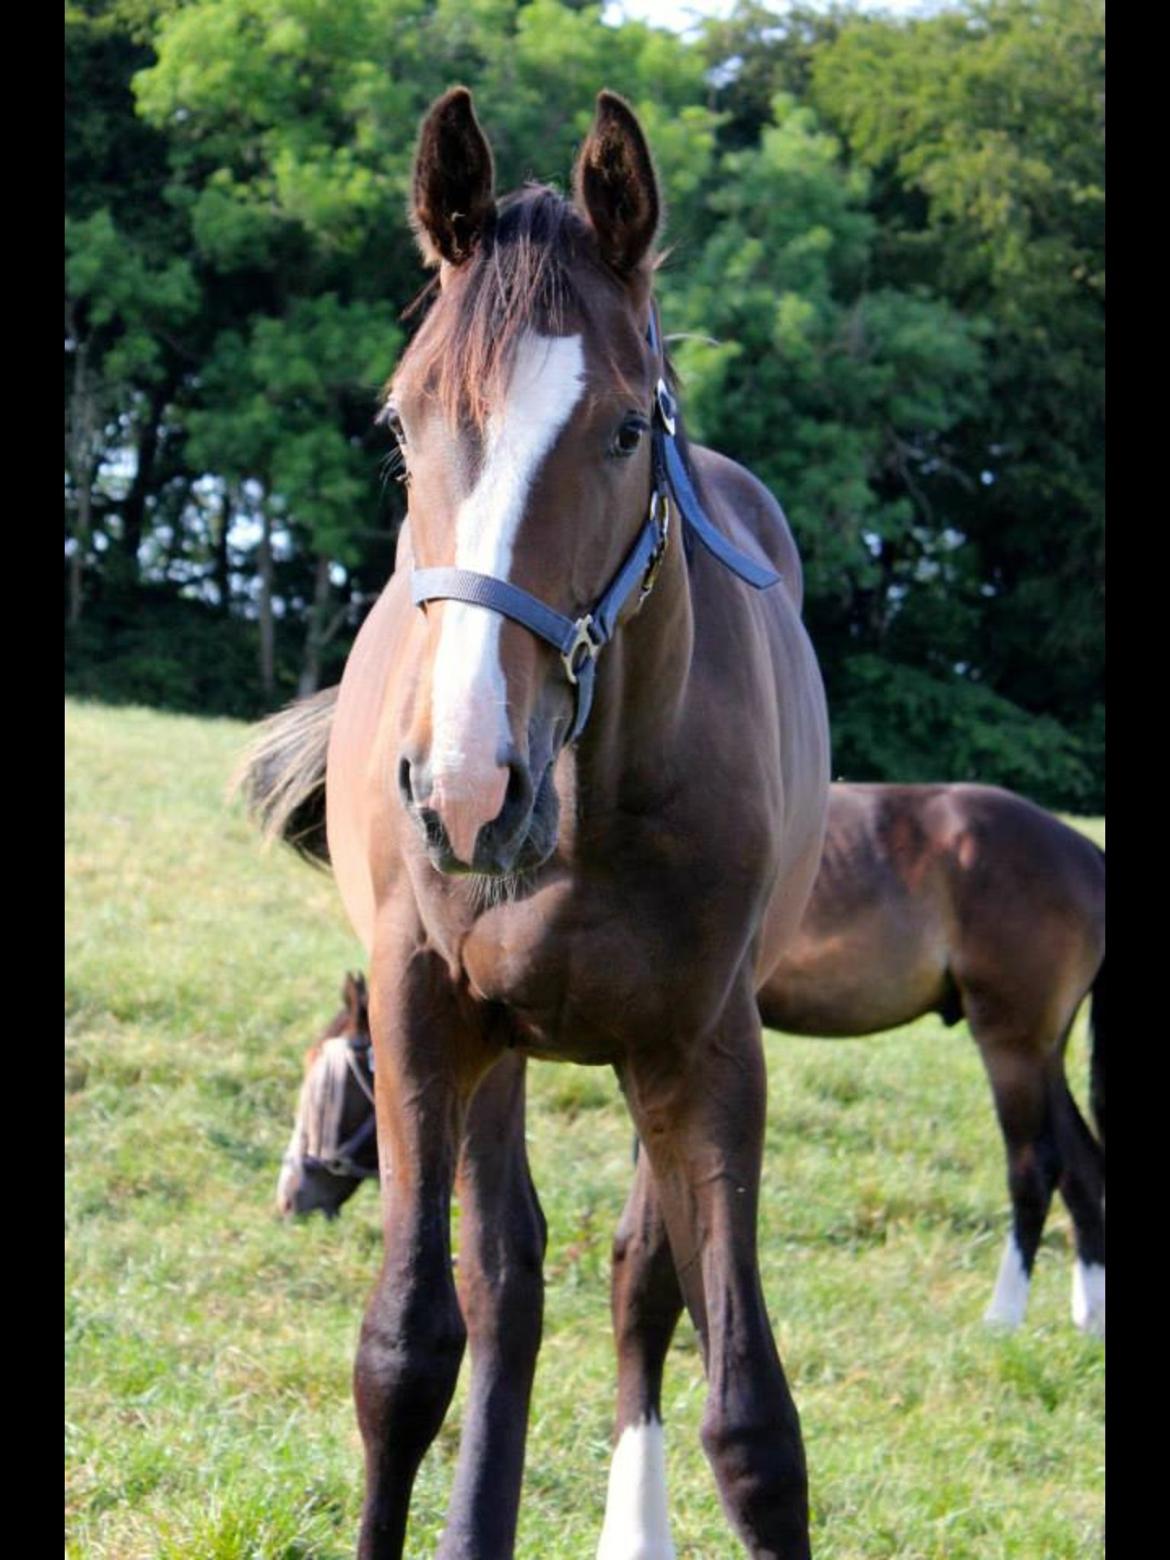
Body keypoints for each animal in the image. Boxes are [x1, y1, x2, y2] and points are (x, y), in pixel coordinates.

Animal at [243, 88, 836, 1560]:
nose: (466, 789)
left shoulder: (707, 1051)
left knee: (634, 1278)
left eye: (624, 430)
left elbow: (750, 1420)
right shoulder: (420, 1011)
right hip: (492, 1043)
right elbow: (405, 1352)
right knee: (504, 1276)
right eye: (402, 424)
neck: (586, 810)